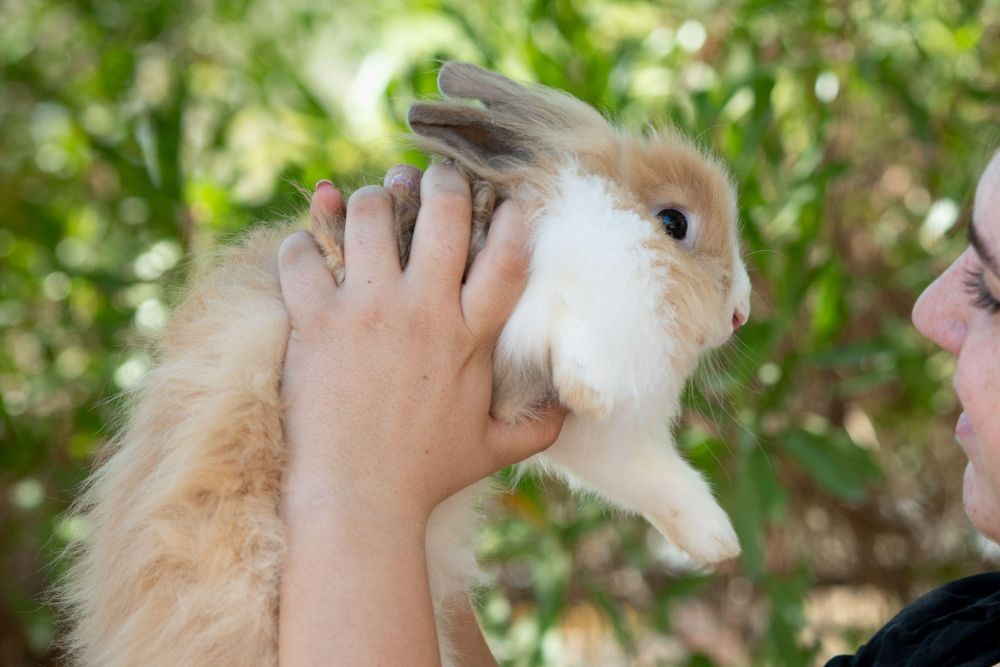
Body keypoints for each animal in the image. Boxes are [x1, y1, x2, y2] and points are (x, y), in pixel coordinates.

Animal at [57, 62, 751, 667]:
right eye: (673, 222)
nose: (741, 313)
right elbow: (571, 338)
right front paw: (592, 383)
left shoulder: (582, 435)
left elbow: (652, 476)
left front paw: (720, 542)